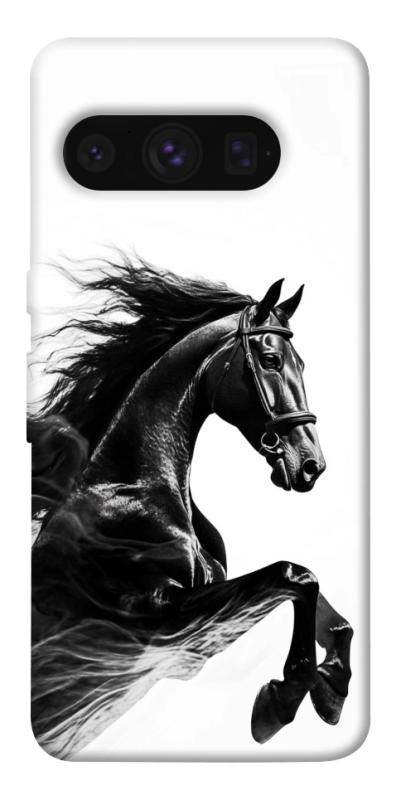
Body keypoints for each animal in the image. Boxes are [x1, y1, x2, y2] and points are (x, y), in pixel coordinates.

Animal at [29, 257, 353, 759]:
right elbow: (293, 576)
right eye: (271, 360)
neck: (134, 488)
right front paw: (281, 701)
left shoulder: (191, 641)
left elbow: (321, 603)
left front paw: (331, 689)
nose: (310, 465)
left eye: (301, 362)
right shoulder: (159, 623)